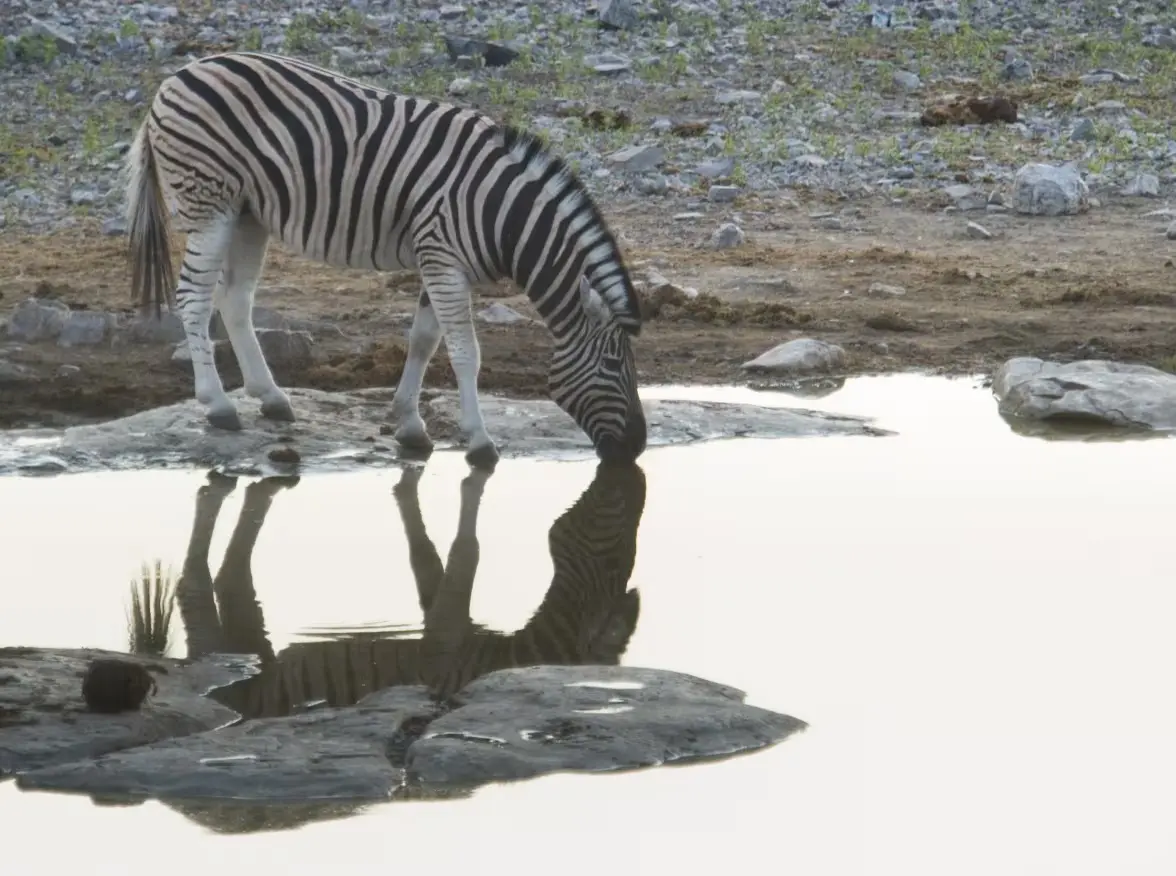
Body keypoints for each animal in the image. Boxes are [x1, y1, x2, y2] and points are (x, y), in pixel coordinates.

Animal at [124, 50, 649, 467]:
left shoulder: (438, 261)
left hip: (248, 212)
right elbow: (466, 352)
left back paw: (270, 398)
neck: (501, 212)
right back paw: (218, 405)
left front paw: (409, 424)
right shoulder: (442, 259)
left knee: (234, 299)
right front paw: (479, 441)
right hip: (209, 204)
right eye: (611, 365)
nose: (638, 448)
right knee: (193, 298)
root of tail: (176, 77)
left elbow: (423, 341)